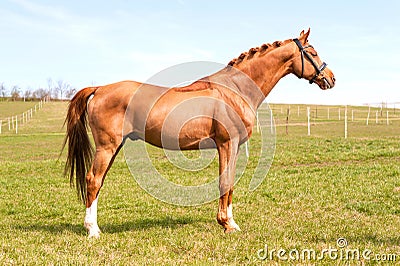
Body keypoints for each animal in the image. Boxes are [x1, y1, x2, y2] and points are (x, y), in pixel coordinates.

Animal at [65, 29, 334, 237]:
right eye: (312, 52)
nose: (330, 78)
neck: (234, 90)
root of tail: (100, 89)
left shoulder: (233, 146)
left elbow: (230, 183)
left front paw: (230, 221)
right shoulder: (227, 143)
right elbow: (225, 182)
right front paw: (227, 224)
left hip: (114, 147)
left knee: (98, 183)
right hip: (107, 146)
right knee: (93, 180)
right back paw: (92, 230)